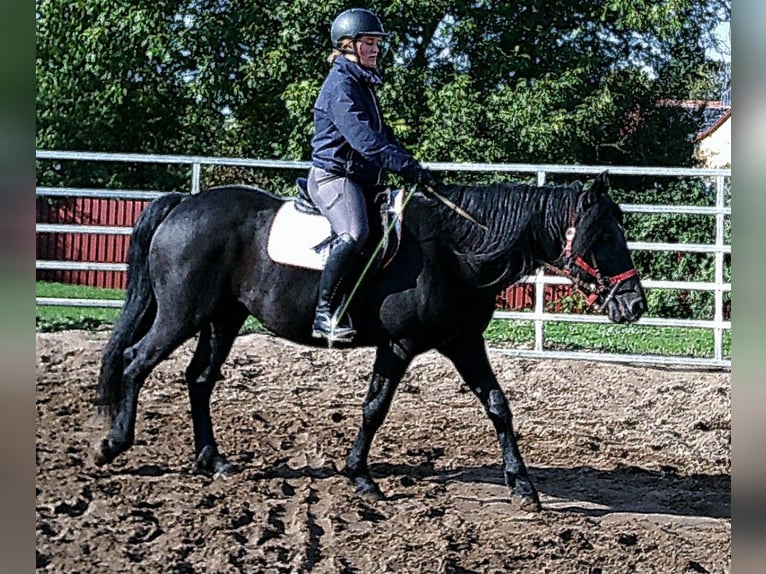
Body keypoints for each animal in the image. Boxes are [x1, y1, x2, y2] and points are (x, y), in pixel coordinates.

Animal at [94, 171, 646, 512]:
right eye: (601, 237)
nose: (635, 304)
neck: (453, 250)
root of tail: (185, 203)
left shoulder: (464, 343)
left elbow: (498, 406)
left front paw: (524, 488)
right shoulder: (399, 345)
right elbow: (375, 407)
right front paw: (361, 477)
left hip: (222, 319)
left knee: (199, 379)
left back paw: (213, 461)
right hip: (181, 315)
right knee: (135, 362)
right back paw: (114, 444)